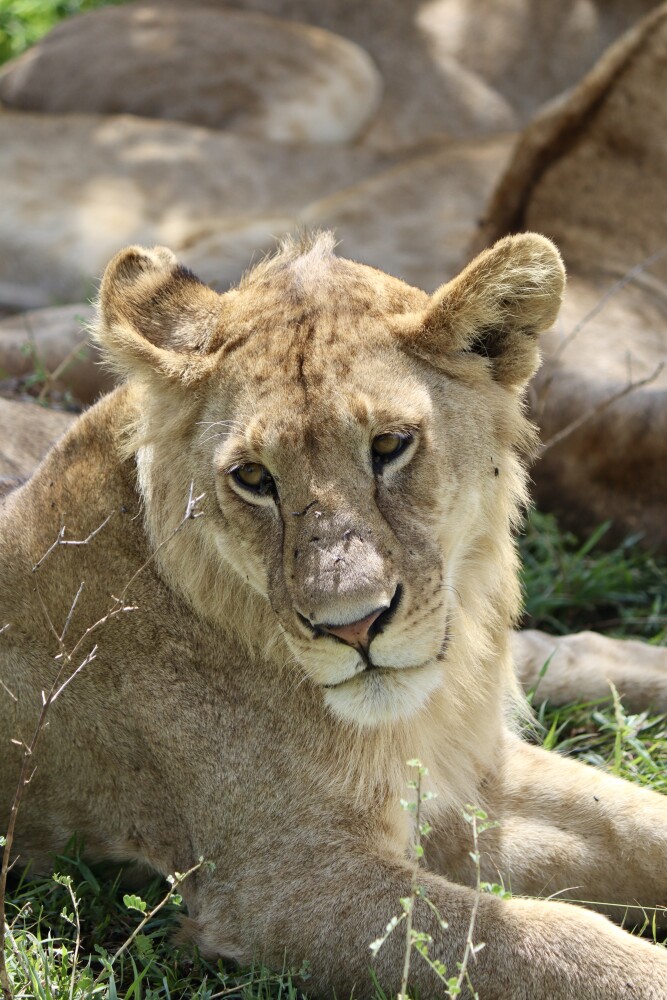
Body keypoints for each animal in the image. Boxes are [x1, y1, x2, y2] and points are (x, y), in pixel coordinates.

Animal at [1, 232, 666, 999]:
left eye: (391, 445)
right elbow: (556, 944)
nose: (350, 626)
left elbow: (633, 825)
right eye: (253, 478)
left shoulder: (470, 778)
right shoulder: (284, 884)